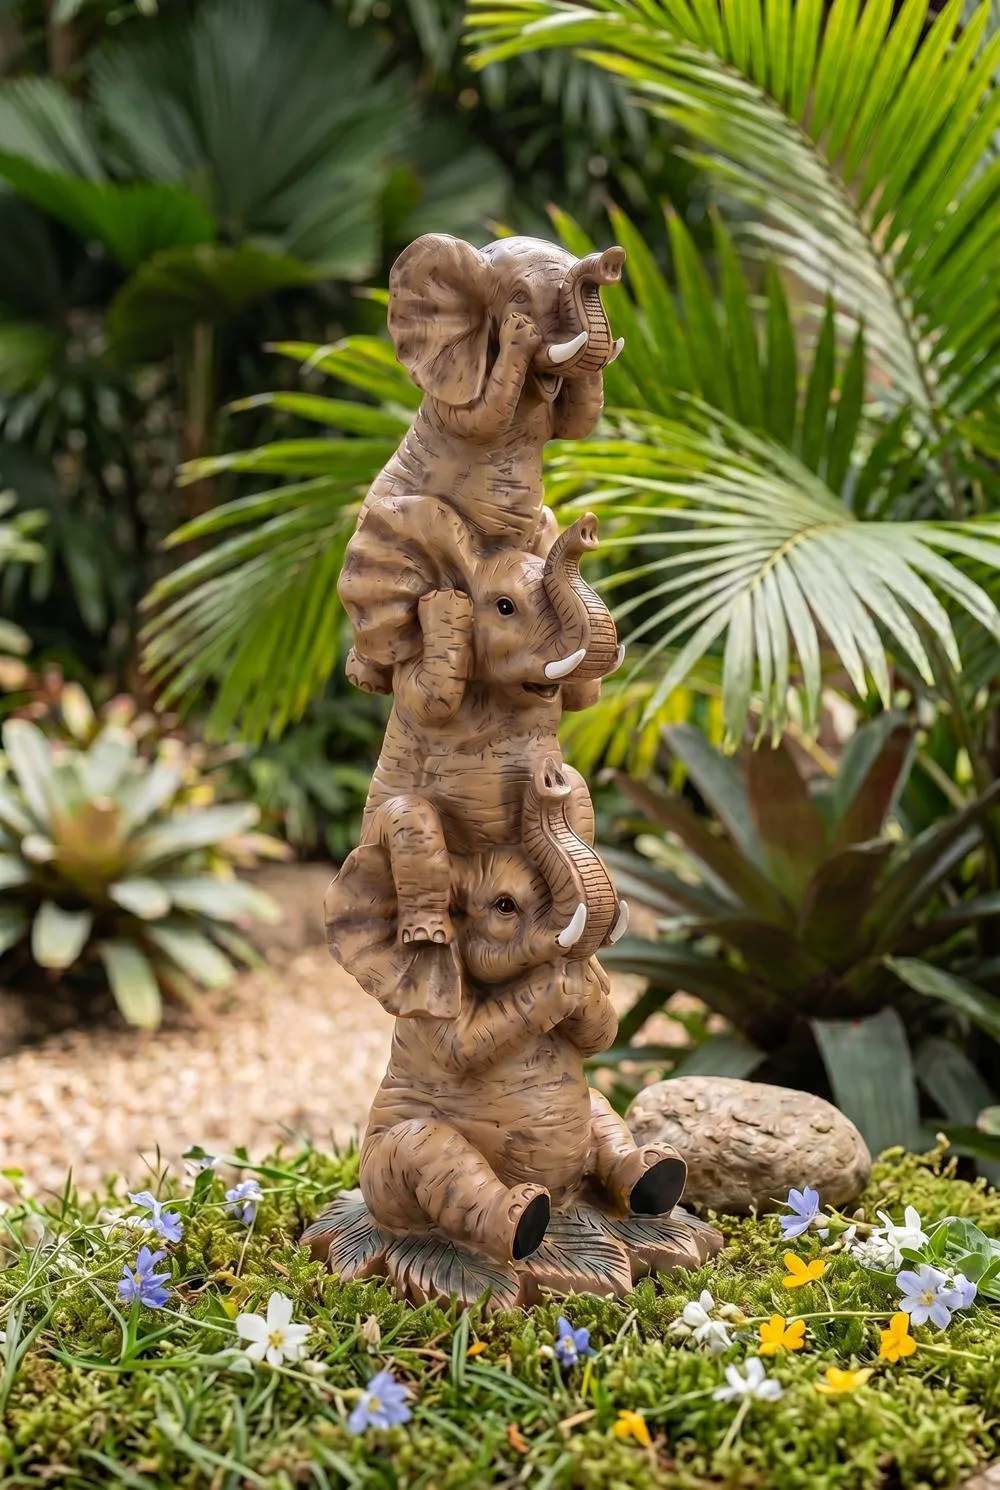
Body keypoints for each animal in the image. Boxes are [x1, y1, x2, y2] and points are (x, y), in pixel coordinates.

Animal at [324, 758, 686, 1265]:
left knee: (601, 1110)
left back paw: (659, 1174)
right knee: (430, 1151)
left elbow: (602, 1037)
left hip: (593, 1118)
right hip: (383, 1176)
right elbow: (461, 1046)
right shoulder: (426, 992)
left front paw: (584, 983)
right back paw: (525, 1220)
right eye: (505, 905)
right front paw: (563, 981)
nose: (551, 778)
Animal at [339, 230, 625, 696]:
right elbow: (480, 418)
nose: (612, 260)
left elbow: (578, 423)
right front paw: (519, 334)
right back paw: (364, 677)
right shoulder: (449, 388)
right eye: (520, 297)